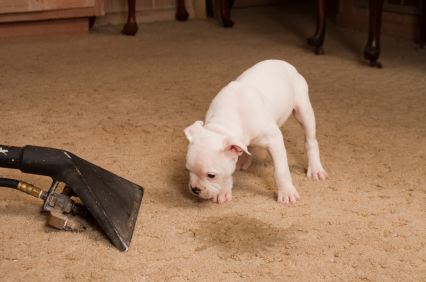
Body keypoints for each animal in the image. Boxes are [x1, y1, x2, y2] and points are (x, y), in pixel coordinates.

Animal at [185, 60, 328, 205]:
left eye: (211, 175)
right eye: (188, 169)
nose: (195, 189)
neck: (225, 120)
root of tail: (283, 62)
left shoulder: (274, 140)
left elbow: (281, 170)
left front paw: (286, 192)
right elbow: (229, 171)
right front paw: (224, 190)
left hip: (303, 110)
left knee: (310, 141)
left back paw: (315, 169)